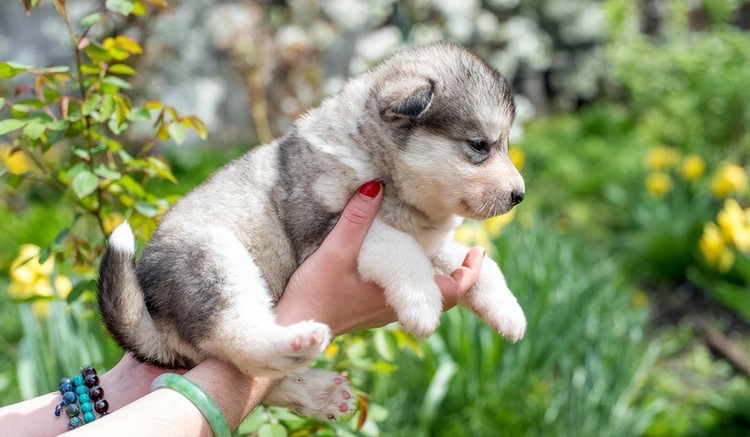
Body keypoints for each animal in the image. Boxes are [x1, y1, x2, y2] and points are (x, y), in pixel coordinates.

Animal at [97, 41, 524, 418]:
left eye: (504, 144)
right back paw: (296, 343)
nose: (519, 195)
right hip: (212, 257)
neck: (377, 159)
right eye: (479, 145)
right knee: (236, 337)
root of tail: (153, 319)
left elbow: (480, 264)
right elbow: (399, 247)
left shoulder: (432, 243)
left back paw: (318, 393)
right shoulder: (324, 230)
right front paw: (421, 303)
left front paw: (509, 311)